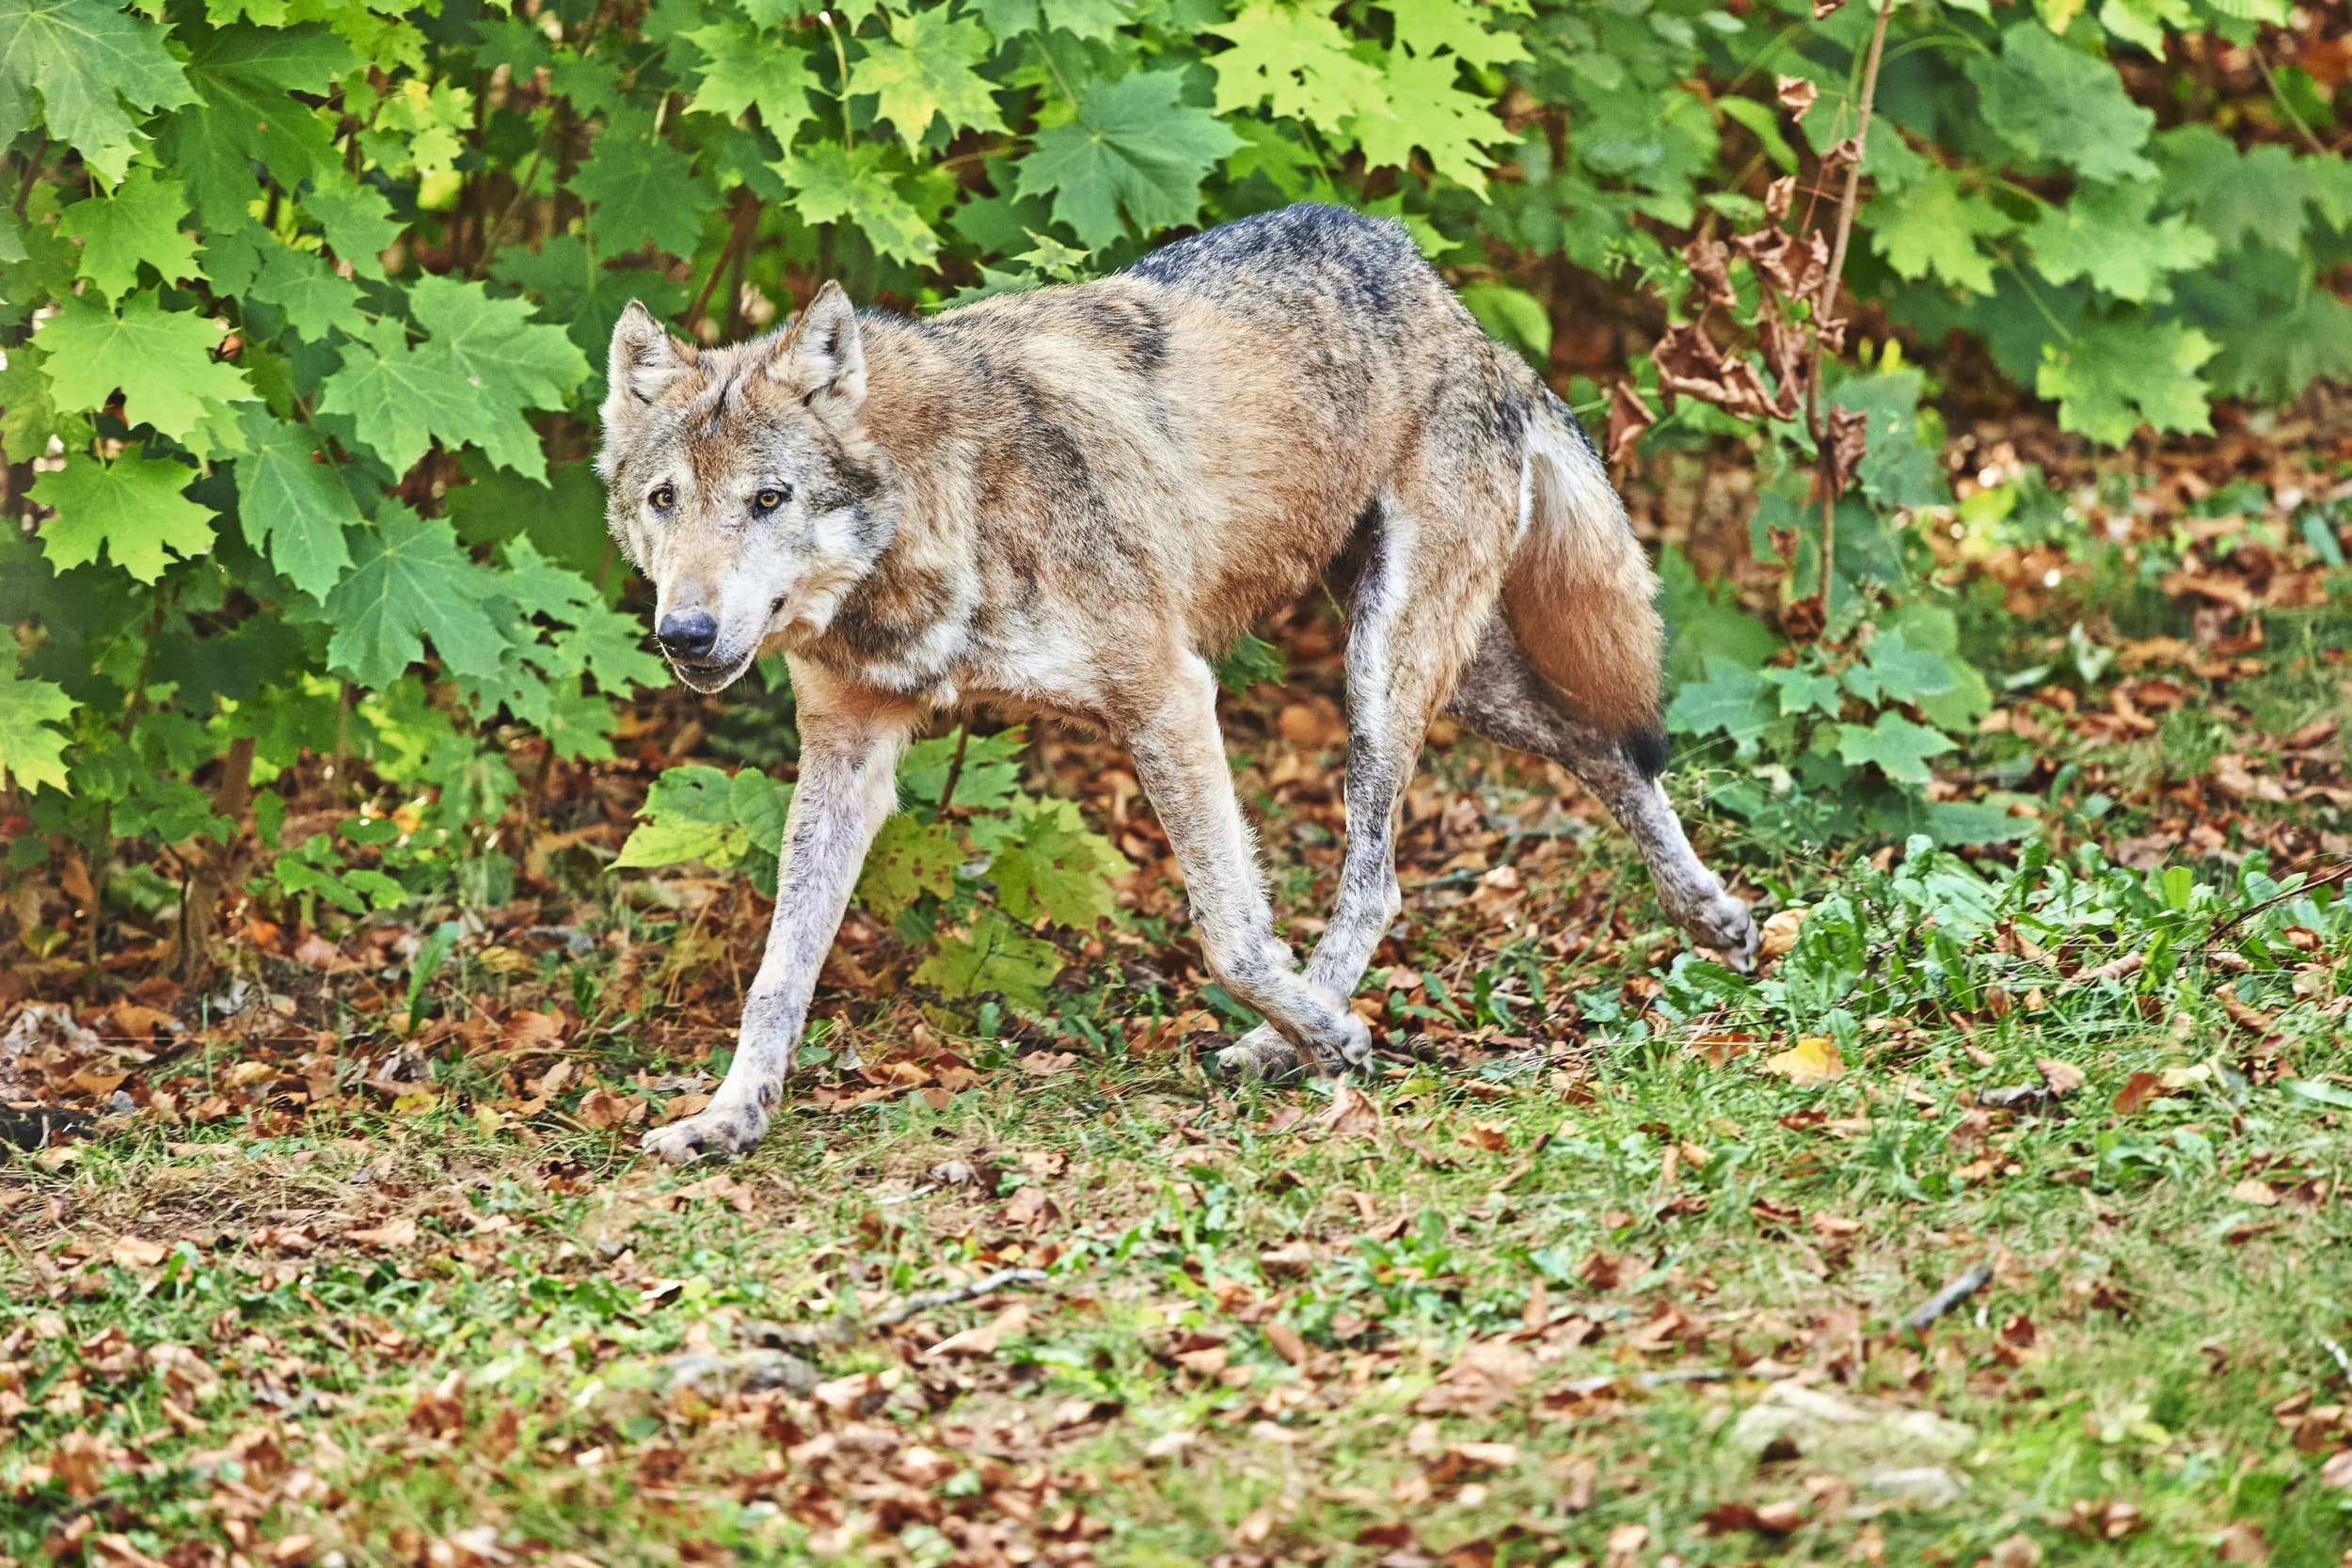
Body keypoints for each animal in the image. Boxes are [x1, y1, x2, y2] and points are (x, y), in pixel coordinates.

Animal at [597, 203, 1757, 1163]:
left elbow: (1232, 934)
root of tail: (1460, 309)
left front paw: (1324, 1034)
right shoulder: (844, 749)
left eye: (768, 499)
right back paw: (1714, 917)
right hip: (1456, 675)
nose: (685, 634)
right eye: (665, 499)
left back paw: (1288, 1041)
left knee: (1383, 875)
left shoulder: (1166, 691)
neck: (942, 506)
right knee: (1601, 742)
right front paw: (730, 1115)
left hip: (1383, 669)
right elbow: (778, 971)